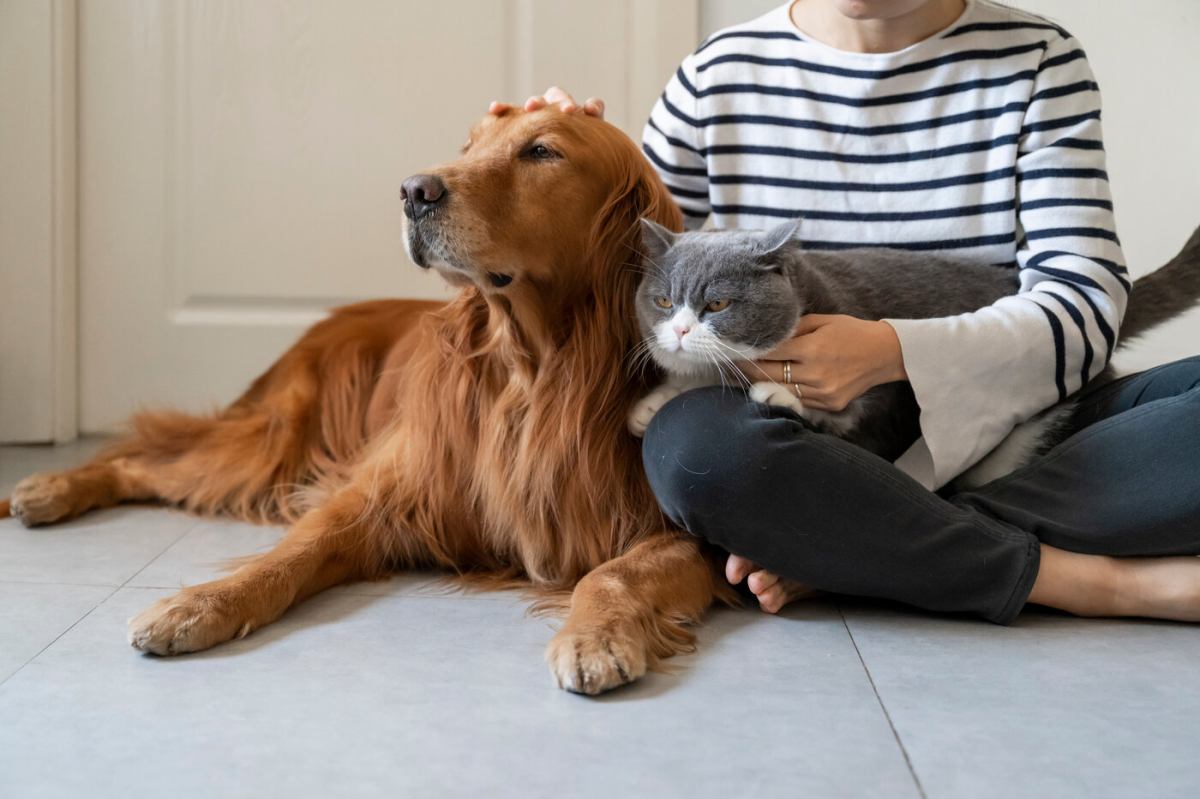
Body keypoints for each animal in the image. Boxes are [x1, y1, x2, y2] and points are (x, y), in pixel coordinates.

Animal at [2, 109, 729, 695]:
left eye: (542, 151)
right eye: (469, 144)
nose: (413, 191)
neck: (535, 370)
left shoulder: (686, 538)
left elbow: (610, 574)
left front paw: (592, 636)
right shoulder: (381, 494)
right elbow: (289, 553)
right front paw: (199, 603)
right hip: (272, 441)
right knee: (145, 455)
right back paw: (45, 488)